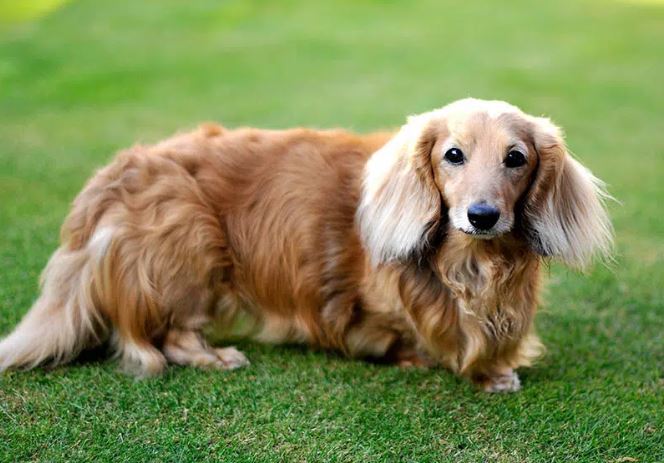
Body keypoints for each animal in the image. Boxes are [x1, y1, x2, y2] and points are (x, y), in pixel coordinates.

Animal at [0, 99, 612, 394]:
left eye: (517, 158)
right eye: (452, 155)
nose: (482, 217)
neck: (471, 266)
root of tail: (114, 175)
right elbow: (413, 338)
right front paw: (467, 367)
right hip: (191, 240)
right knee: (161, 337)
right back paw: (213, 356)